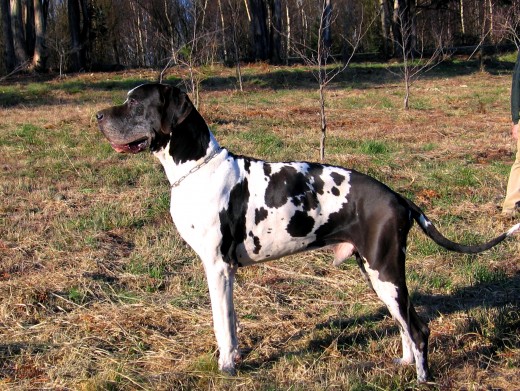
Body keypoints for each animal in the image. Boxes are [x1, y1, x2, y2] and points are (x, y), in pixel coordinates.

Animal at [97, 84, 520, 384]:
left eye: (135, 104)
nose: (98, 115)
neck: (198, 169)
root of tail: (400, 198)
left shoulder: (216, 268)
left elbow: (221, 326)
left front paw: (226, 367)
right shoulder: (225, 272)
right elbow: (230, 322)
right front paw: (235, 359)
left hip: (385, 271)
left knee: (418, 327)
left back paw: (421, 377)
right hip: (378, 274)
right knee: (404, 324)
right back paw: (403, 363)